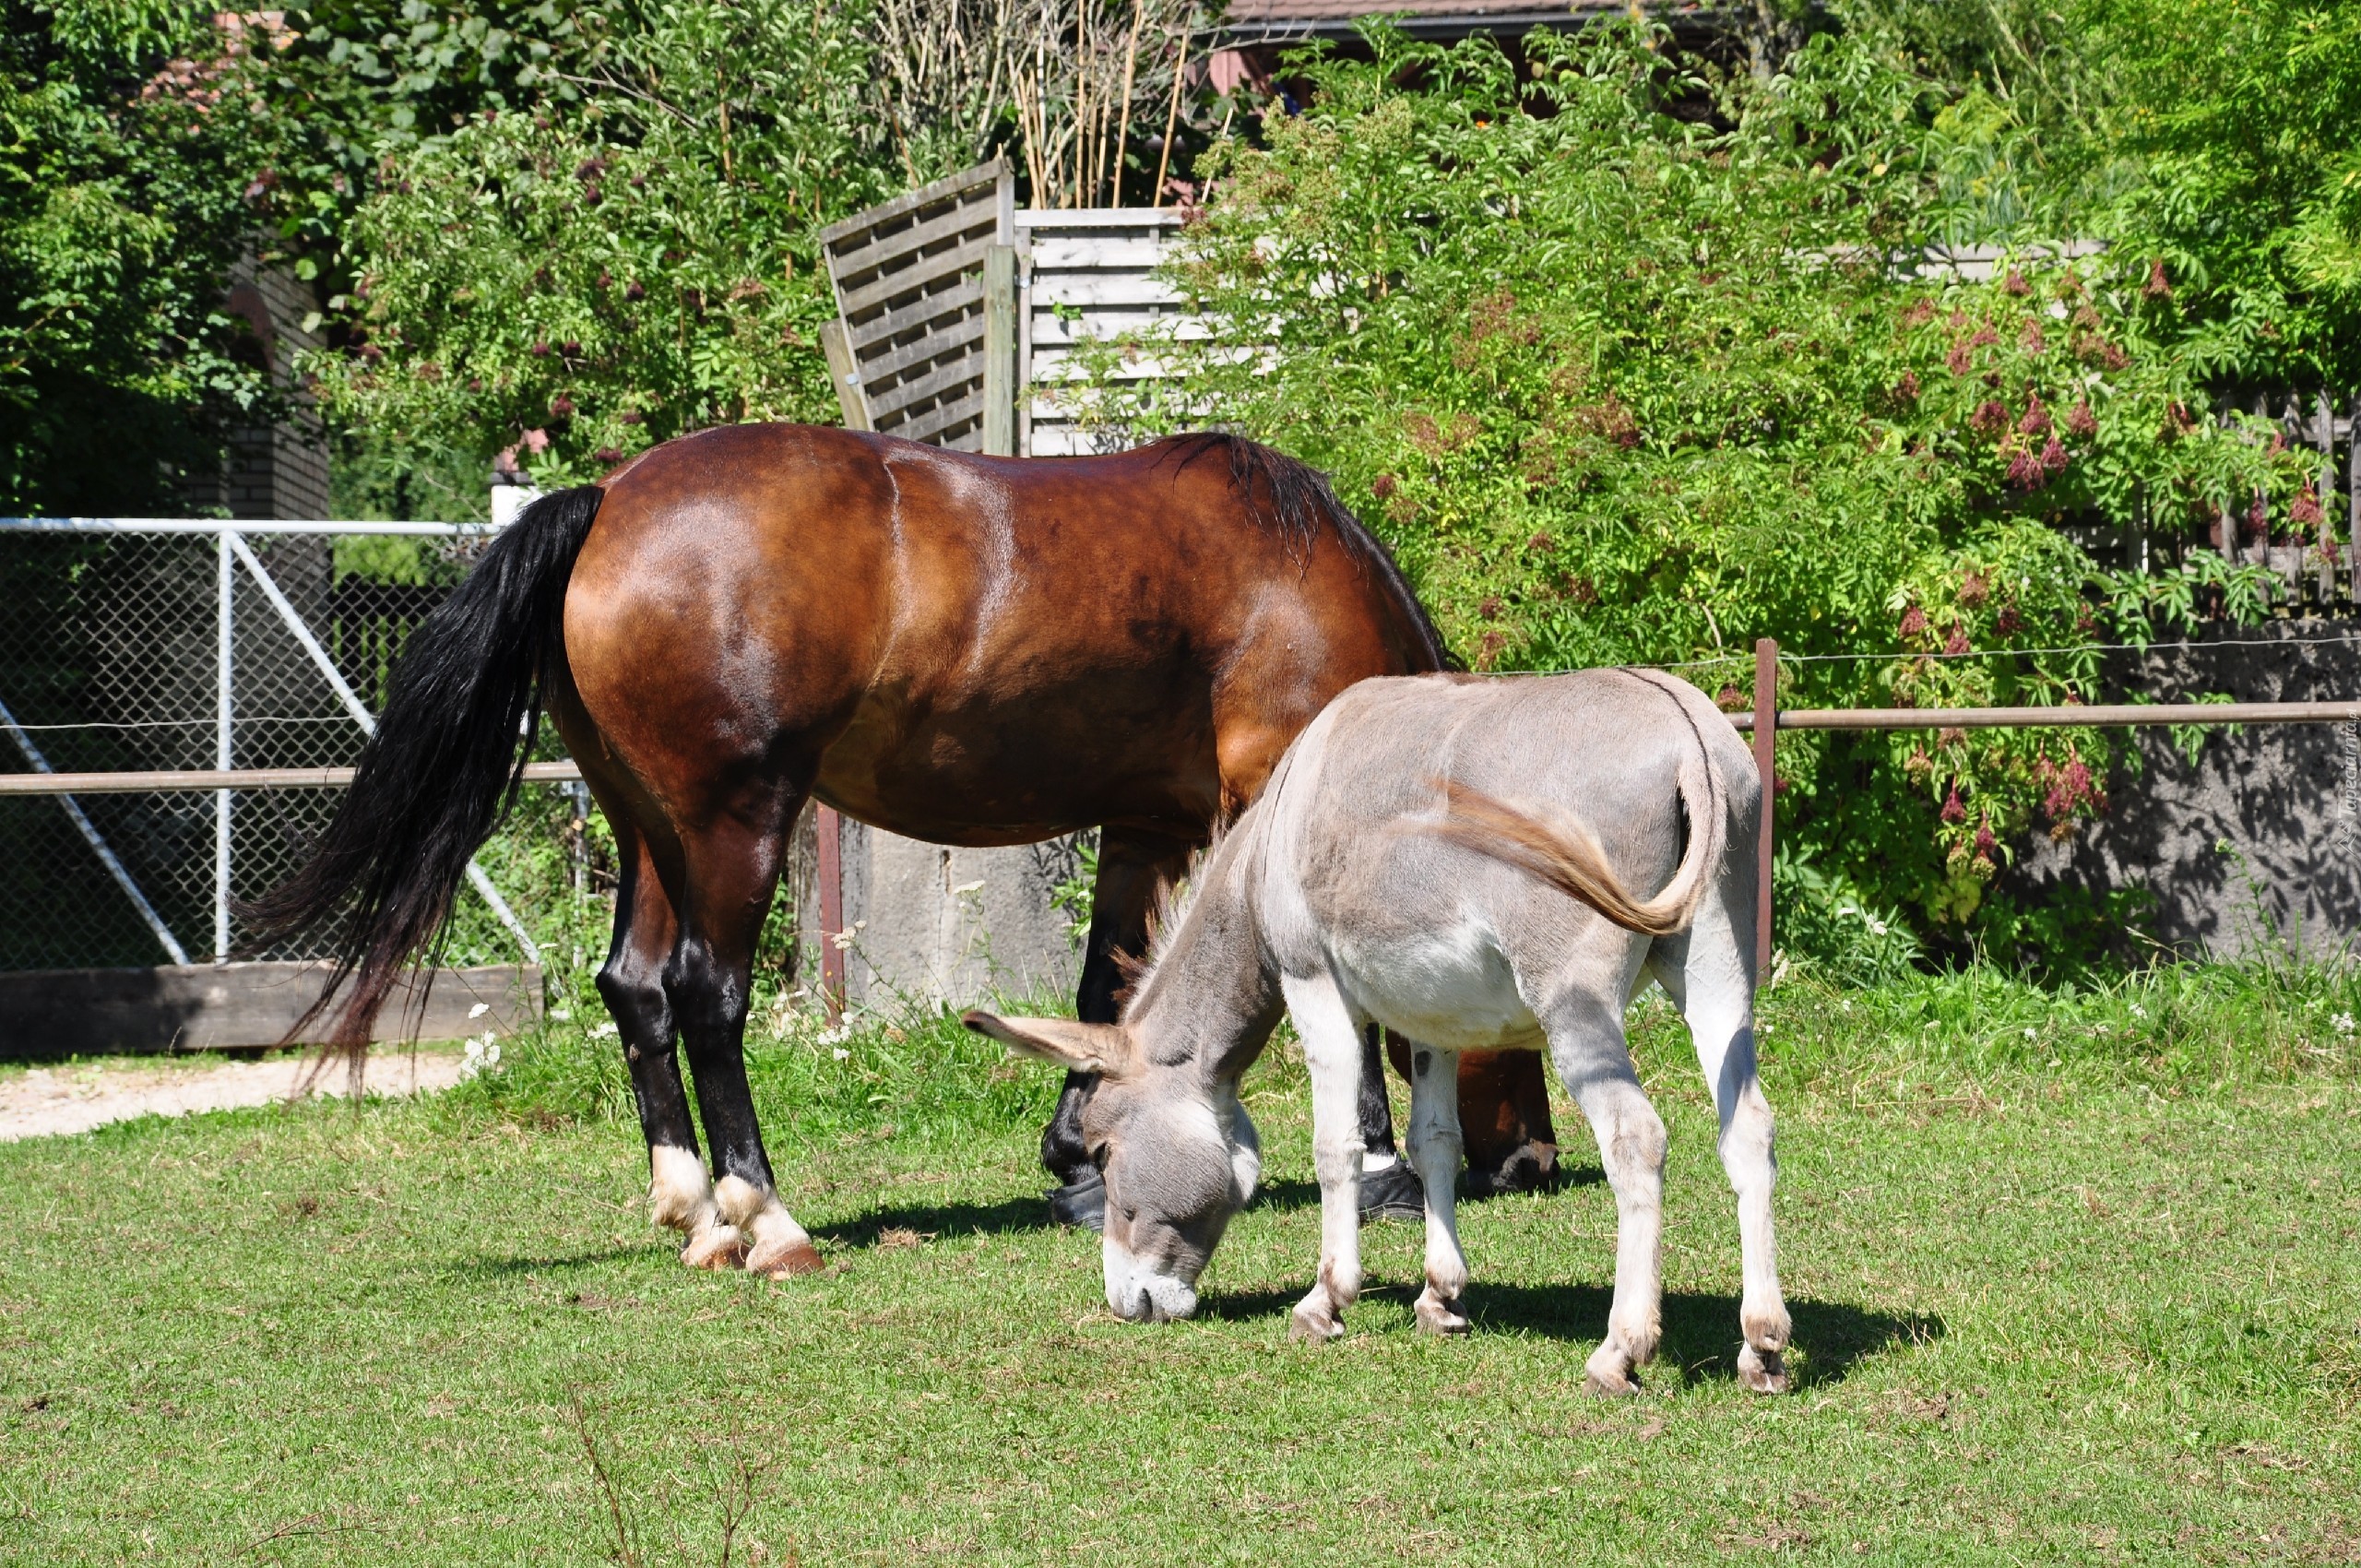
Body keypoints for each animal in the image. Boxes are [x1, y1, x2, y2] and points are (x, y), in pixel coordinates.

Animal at [254, 424, 1548, 1275]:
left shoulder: (1142, 827)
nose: (1532, 1158)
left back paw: (694, 1209)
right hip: (735, 822)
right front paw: (1379, 1168)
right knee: (706, 995)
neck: (1294, 568)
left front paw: (1078, 1154)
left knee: (636, 989)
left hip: (648, 826)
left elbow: (1105, 988)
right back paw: (767, 1218)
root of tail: (610, 499)